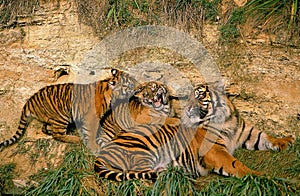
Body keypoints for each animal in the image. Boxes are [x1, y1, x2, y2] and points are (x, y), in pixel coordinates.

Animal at [0, 68, 138, 150]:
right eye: (130, 84)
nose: (139, 87)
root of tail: (29, 100)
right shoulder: (91, 118)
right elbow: (91, 133)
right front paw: (94, 147)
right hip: (61, 116)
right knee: (57, 134)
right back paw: (75, 139)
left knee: (45, 128)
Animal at [95, 81, 294, 181]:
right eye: (188, 98)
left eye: (198, 96)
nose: (188, 109)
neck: (226, 121)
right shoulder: (215, 150)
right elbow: (236, 164)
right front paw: (259, 177)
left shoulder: (246, 133)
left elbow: (266, 136)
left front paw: (286, 141)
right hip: (143, 148)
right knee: (139, 172)